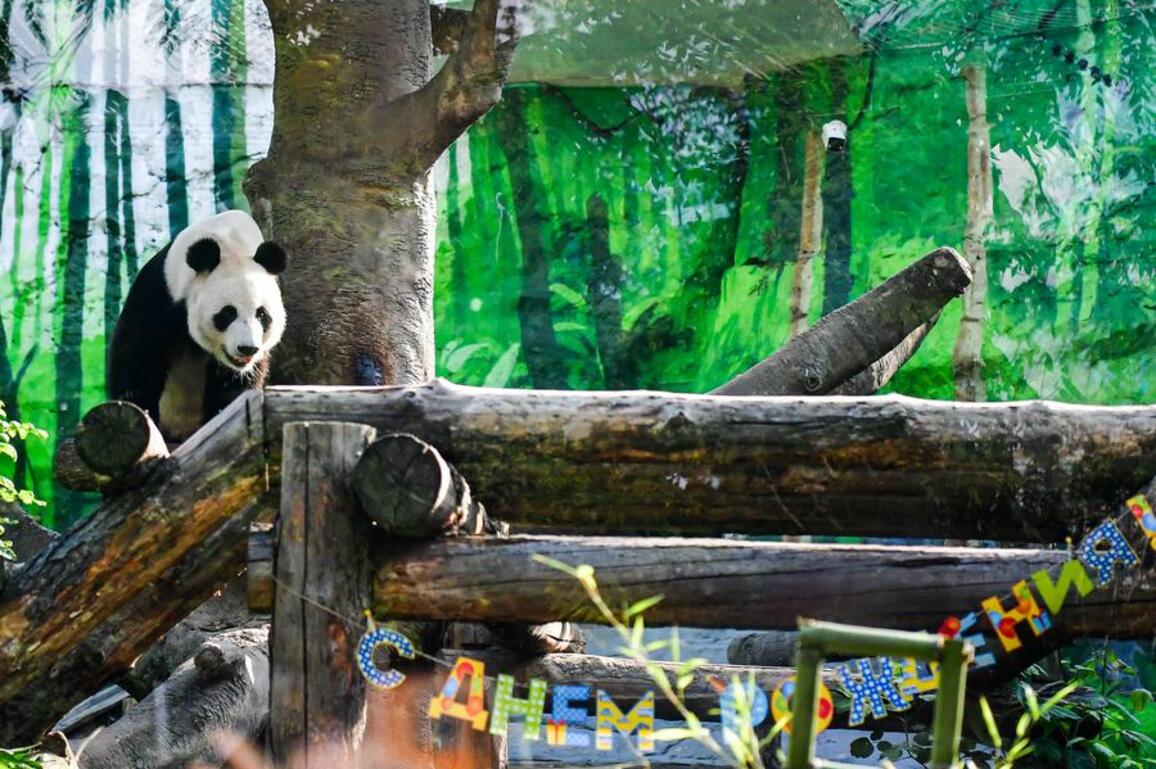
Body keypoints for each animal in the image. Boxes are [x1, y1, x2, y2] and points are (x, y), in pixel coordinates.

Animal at [107, 210, 288, 442]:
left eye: (262, 315)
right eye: (228, 313)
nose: (247, 348)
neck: (230, 244)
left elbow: (233, 384)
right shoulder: (161, 293)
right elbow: (138, 355)